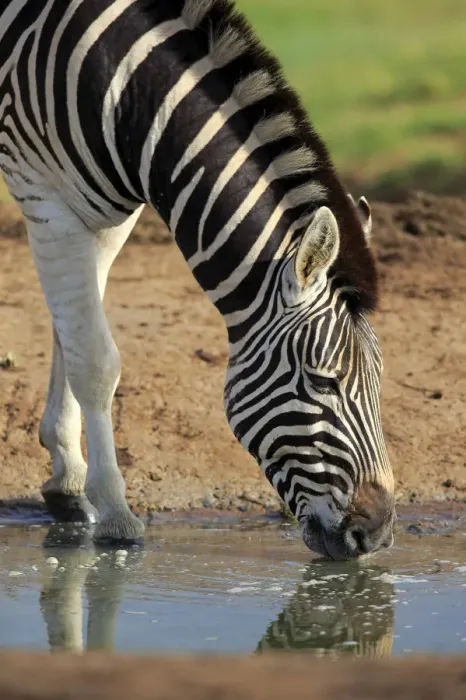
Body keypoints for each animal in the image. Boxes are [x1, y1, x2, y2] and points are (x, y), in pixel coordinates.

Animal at [0, 0, 395, 558]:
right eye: (324, 381)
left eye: (380, 378)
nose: (377, 534)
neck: (125, 92)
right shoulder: (46, 197)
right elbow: (96, 359)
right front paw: (115, 511)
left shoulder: (104, 214)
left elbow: (70, 333)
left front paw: (68, 477)